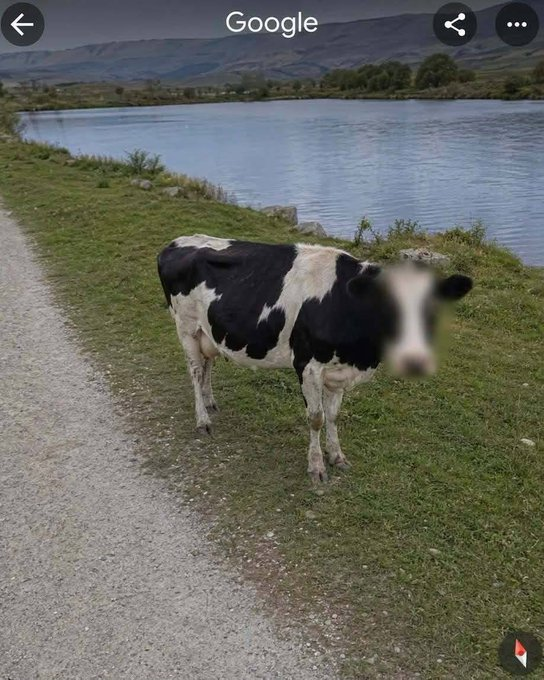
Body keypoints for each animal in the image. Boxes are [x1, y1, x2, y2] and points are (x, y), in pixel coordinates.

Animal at [157, 234, 472, 483]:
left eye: (432, 309)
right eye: (387, 306)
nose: (414, 362)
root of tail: (178, 242)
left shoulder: (339, 371)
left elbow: (333, 415)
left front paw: (337, 456)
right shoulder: (308, 366)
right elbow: (316, 418)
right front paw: (317, 466)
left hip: (208, 333)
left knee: (208, 364)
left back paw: (210, 402)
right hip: (186, 328)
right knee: (196, 371)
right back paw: (202, 420)